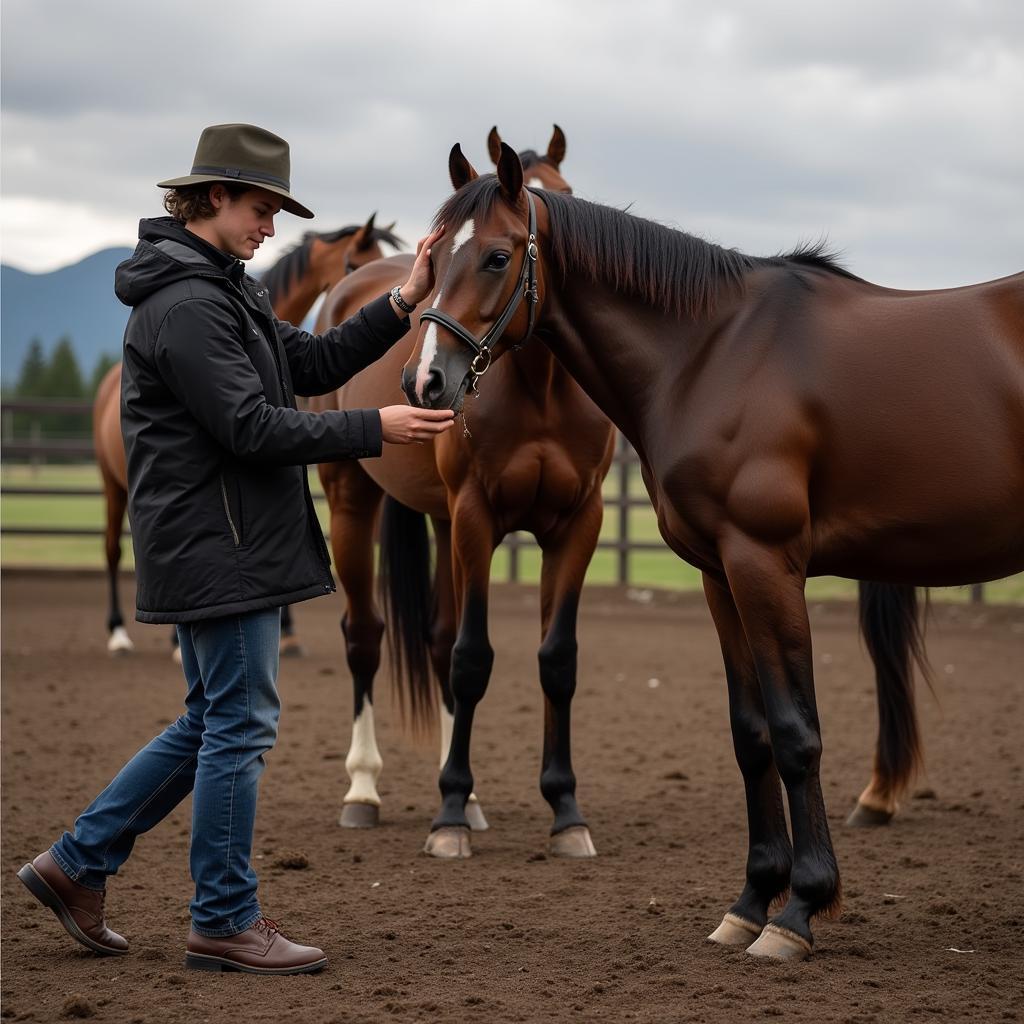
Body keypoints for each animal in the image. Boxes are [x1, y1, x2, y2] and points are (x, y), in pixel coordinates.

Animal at [307, 123, 618, 856]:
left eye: (500, 256)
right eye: (438, 248)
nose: (424, 381)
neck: (541, 387)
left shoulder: (578, 523)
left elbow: (555, 659)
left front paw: (565, 811)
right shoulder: (477, 517)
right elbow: (474, 658)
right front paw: (447, 815)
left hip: (442, 522)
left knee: (437, 640)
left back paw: (468, 796)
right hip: (354, 504)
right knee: (365, 635)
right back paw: (364, 789)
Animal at [397, 144, 1024, 958]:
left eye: (497, 257)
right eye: (433, 254)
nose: (425, 379)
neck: (713, 353)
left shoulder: (766, 564)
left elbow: (795, 733)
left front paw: (800, 910)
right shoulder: (720, 574)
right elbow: (751, 734)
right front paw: (753, 900)